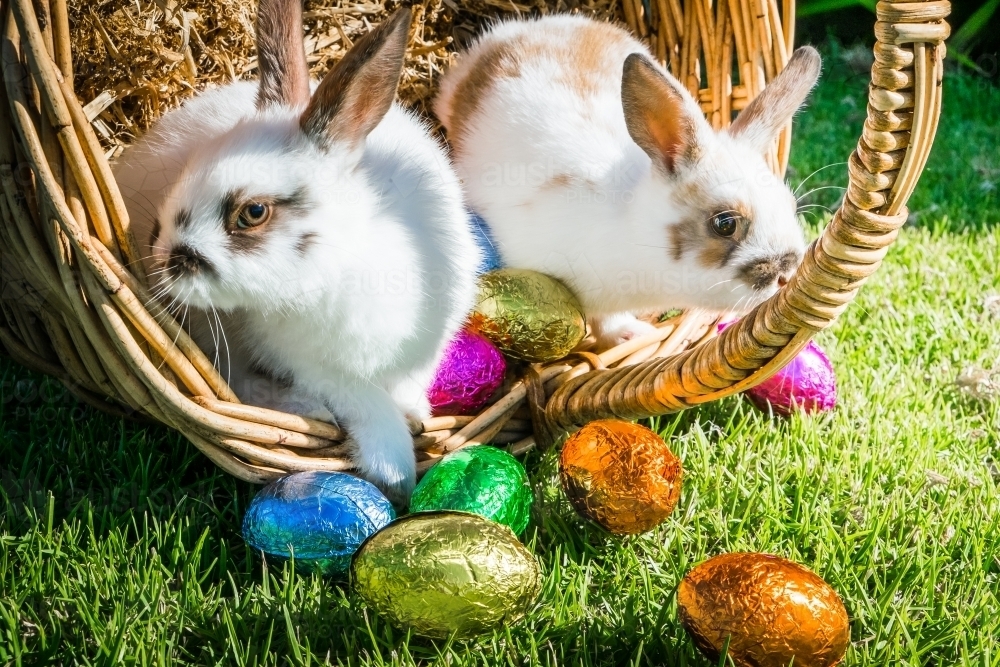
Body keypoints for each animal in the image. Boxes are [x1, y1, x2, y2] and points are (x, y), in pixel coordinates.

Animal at [113, 3, 480, 506]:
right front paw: (395, 471)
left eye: (253, 212)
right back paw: (305, 408)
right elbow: (366, 405)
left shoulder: (427, 346)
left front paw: (417, 417)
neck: (340, 263)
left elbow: (407, 389)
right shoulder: (315, 368)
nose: (160, 255)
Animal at [436, 16, 820, 350]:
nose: (787, 273)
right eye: (725, 224)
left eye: (789, 205)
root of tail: (516, 30)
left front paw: (630, 335)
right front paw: (628, 338)